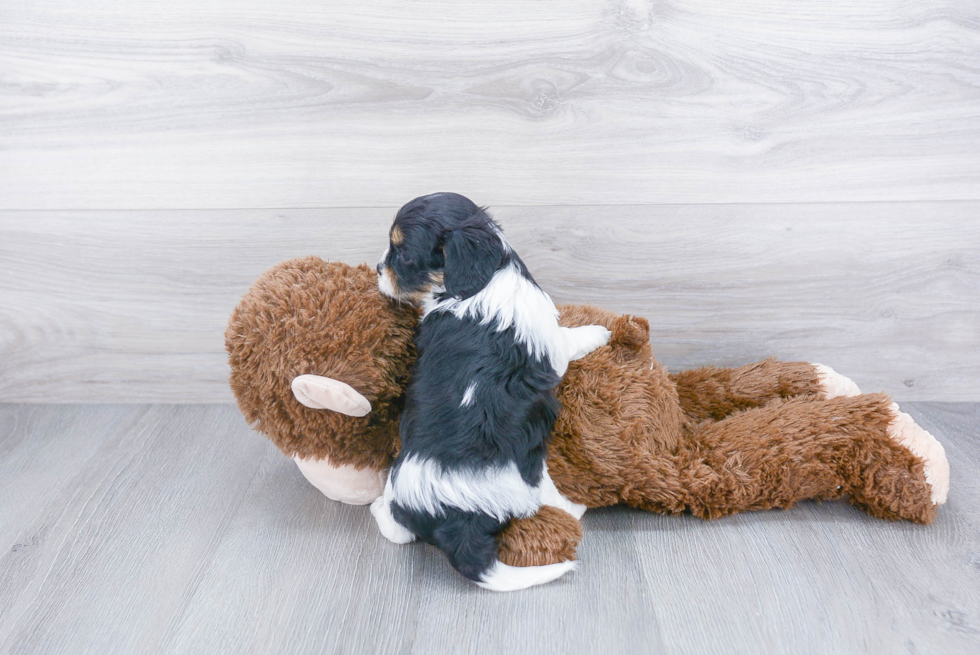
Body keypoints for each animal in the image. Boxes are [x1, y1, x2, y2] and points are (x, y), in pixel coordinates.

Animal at [372, 192, 608, 592]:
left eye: (402, 255)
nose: (377, 268)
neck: (481, 283)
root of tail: (449, 519)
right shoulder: (553, 345)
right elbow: (570, 337)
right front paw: (600, 332)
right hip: (529, 476)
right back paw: (577, 506)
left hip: (399, 491)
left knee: (397, 528)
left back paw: (378, 508)